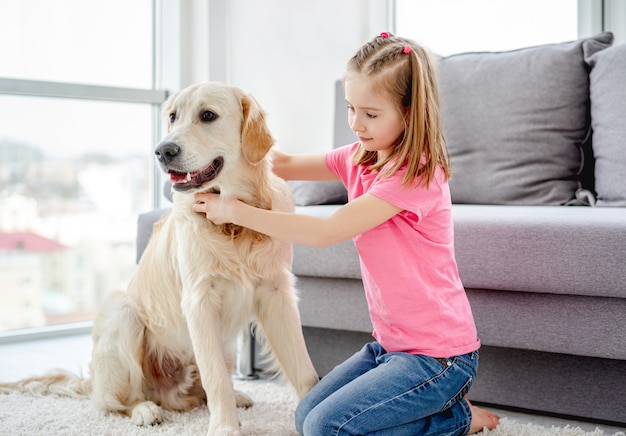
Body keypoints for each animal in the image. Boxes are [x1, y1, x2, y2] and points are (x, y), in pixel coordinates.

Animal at [0, 82, 320, 436]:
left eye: (208, 116)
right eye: (172, 117)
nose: (163, 151)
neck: (233, 224)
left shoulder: (276, 293)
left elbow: (304, 370)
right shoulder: (199, 300)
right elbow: (215, 379)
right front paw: (225, 428)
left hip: (223, 343)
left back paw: (235, 396)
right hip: (124, 315)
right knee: (119, 401)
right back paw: (146, 410)